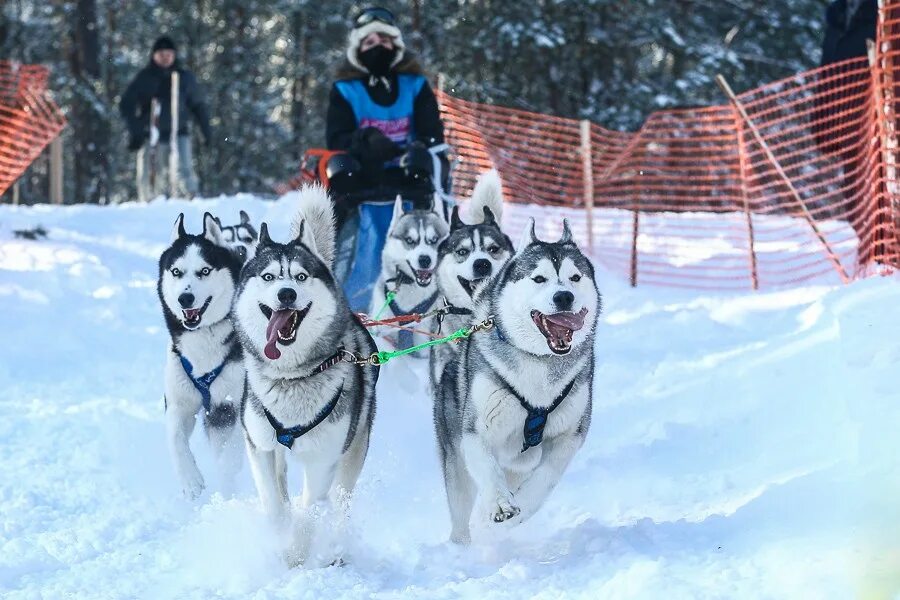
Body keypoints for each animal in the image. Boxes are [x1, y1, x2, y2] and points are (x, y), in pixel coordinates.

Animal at [157, 213, 243, 500]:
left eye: (205, 271)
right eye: (176, 271)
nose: (185, 298)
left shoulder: (232, 407)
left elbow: (230, 457)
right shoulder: (179, 403)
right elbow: (175, 439)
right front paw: (190, 480)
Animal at [234, 185, 378, 564]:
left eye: (300, 277)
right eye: (269, 277)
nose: (287, 293)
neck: (292, 377)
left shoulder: (322, 461)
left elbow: (308, 512)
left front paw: (295, 557)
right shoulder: (260, 447)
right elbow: (273, 503)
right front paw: (276, 536)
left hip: (352, 453)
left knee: (339, 502)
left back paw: (337, 549)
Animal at [434, 219, 600, 544]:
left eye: (575, 277)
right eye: (539, 279)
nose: (564, 296)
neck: (539, 361)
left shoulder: (570, 436)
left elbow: (545, 479)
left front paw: (520, 507)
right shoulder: (476, 431)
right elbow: (488, 471)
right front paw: (500, 505)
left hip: (519, 464)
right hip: (456, 460)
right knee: (463, 509)